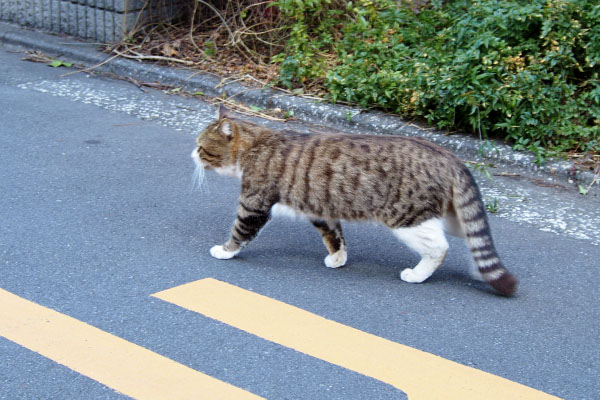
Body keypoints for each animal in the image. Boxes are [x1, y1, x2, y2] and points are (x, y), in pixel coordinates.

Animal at [193, 106, 520, 296]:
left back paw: (417, 274)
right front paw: (338, 258)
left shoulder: (254, 203)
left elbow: (240, 232)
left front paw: (225, 251)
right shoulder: (320, 209)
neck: (256, 144)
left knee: (440, 248)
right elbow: (334, 235)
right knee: (473, 234)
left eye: (201, 147)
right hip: (450, 215)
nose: (191, 154)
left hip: (408, 219)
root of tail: (450, 156)